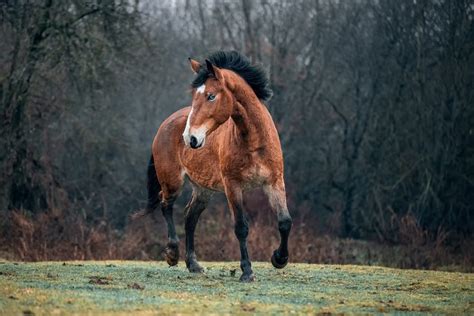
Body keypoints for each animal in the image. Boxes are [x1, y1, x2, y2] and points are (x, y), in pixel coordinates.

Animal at [148, 50, 290, 282]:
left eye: (211, 96)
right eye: (195, 96)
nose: (190, 138)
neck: (254, 141)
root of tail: (167, 123)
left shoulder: (274, 181)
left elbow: (285, 221)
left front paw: (279, 259)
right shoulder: (233, 186)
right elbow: (241, 227)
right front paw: (247, 271)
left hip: (204, 189)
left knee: (190, 217)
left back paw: (193, 264)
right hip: (172, 181)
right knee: (166, 205)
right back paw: (172, 253)